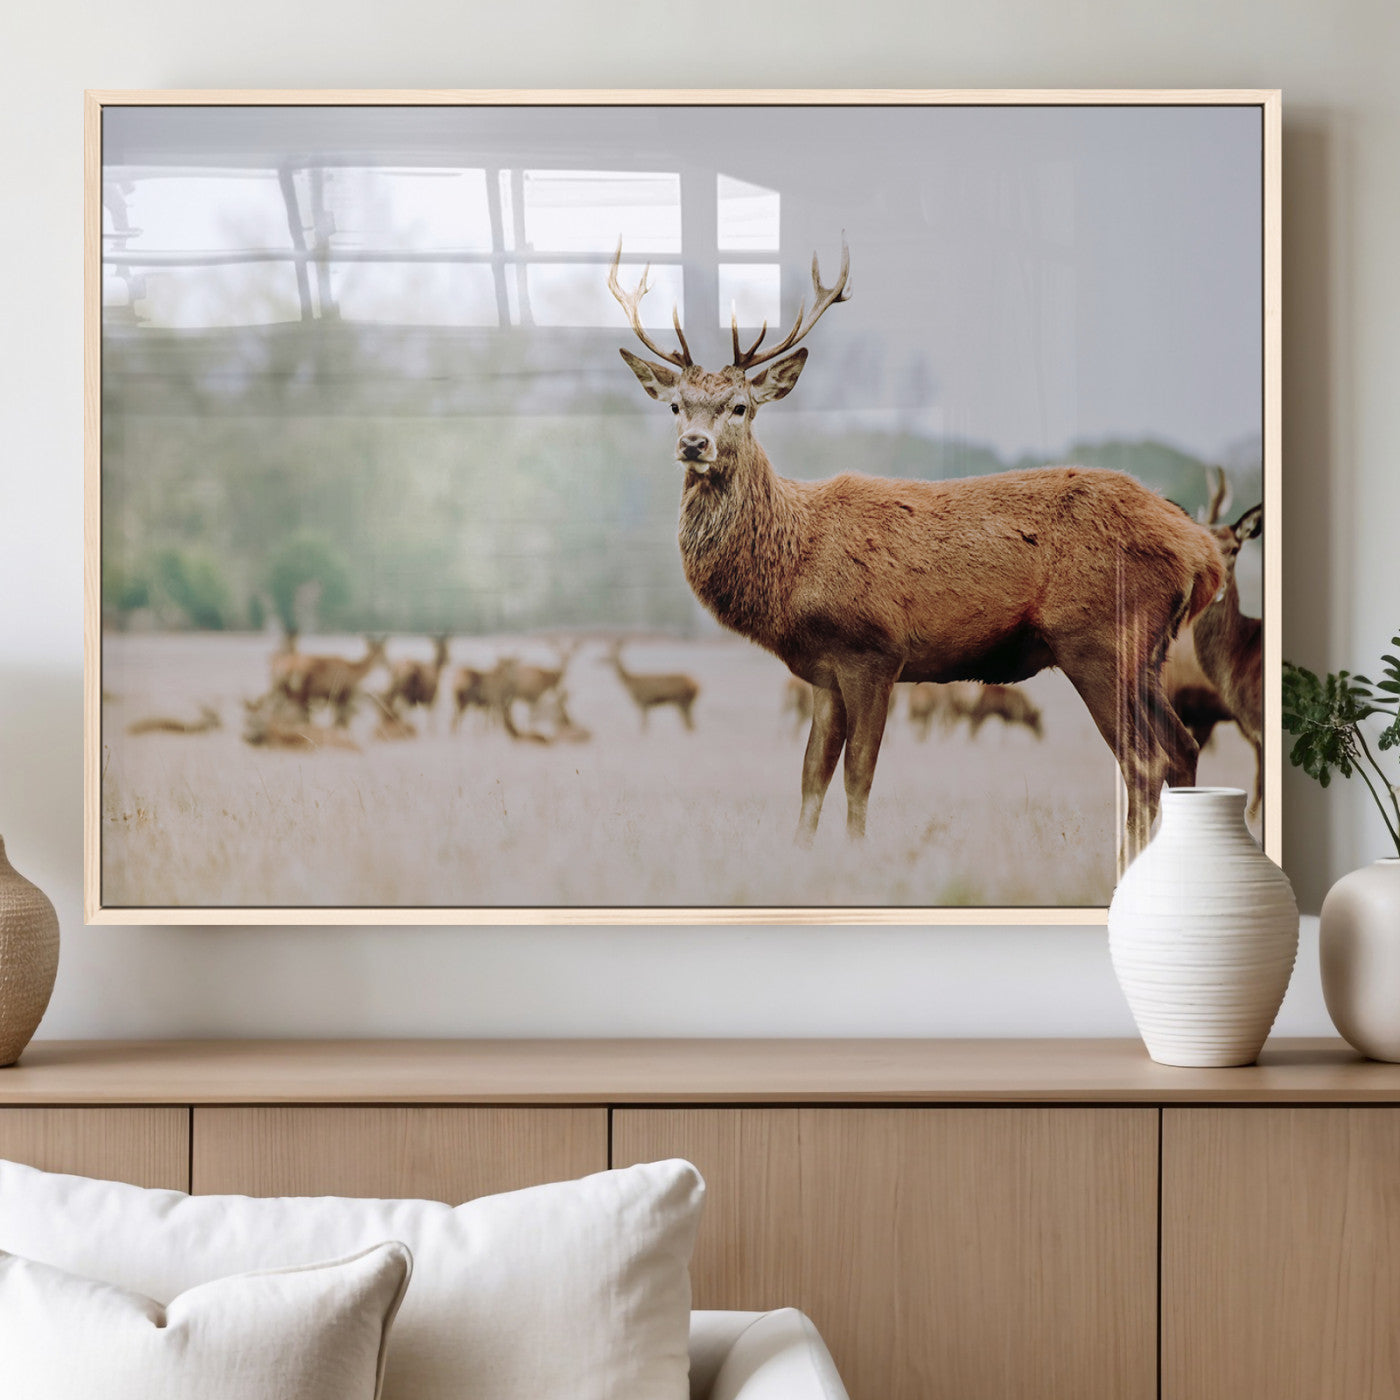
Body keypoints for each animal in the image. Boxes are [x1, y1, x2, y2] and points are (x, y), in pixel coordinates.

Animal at [610, 236, 1224, 858]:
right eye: (675, 405)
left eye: (740, 406)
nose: (694, 444)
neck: (795, 561)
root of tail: (1203, 551)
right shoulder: (824, 671)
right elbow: (811, 777)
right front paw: (801, 854)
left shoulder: (873, 650)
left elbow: (858, 774)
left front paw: (858, 854)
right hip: (1145, 653)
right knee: (1183, 749)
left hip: (1098, 638)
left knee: (1145, 762)